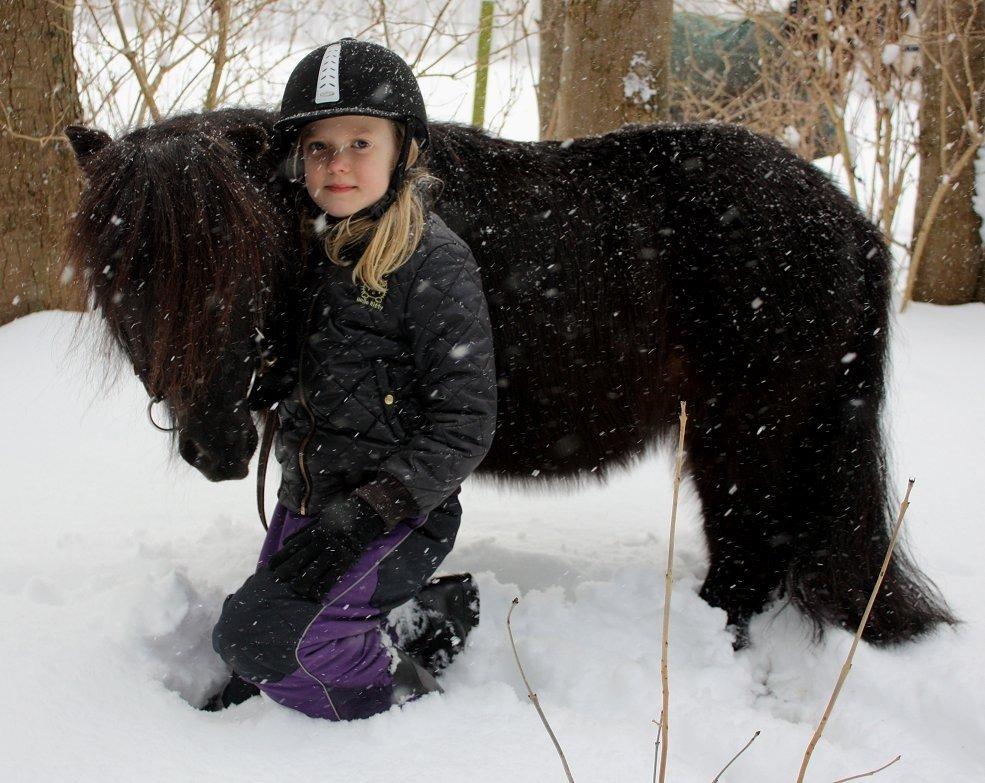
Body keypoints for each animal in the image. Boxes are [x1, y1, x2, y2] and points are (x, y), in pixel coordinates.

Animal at [63, 112, 952, 648]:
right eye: (118, 277)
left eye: (241, 269)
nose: (214, 443)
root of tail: (848, 222)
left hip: (743, 440)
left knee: (747, 561)